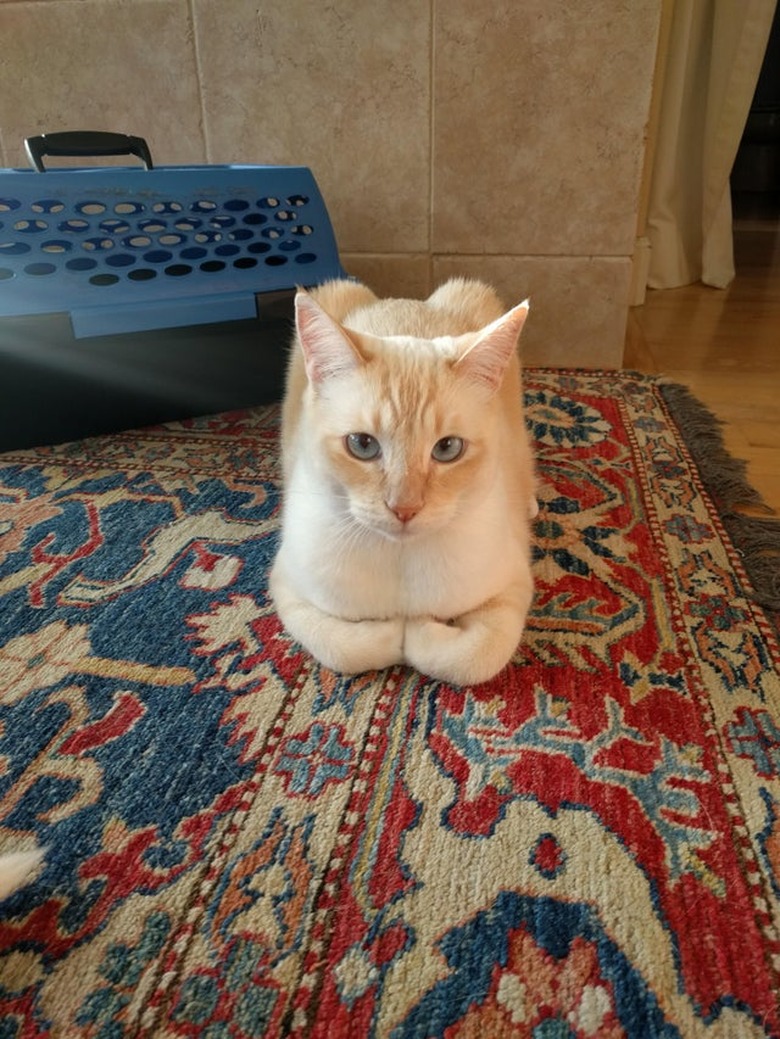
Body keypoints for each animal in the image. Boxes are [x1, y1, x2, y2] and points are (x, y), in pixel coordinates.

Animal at [270, 276, 535, 685]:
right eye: (362, 445)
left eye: (447, 449)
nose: (404, 509)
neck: (400, 559)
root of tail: (403, 300)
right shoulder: (288, 587)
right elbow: (343, 649)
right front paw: (394, 629)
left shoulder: (513, 587)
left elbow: (474, 656)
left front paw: (419, 628)